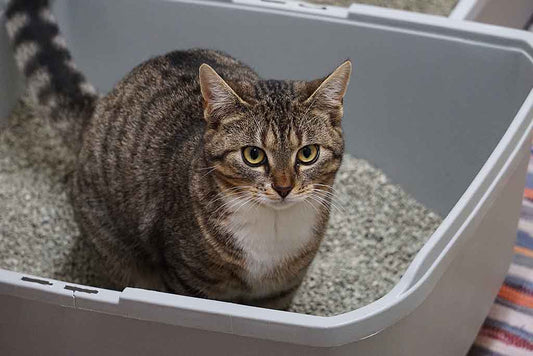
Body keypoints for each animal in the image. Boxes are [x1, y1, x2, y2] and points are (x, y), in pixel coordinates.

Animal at [7, 0, 354, 308]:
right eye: (253, 155)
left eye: (307, 153)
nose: (283, 187)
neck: (273, 230)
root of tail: (98, 110)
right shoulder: (187, 278)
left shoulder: (282, 289)